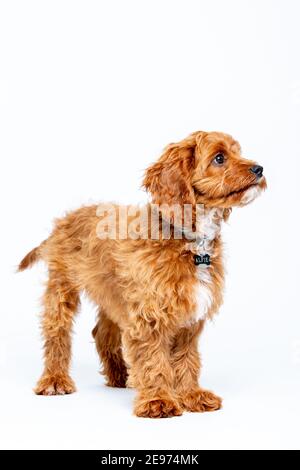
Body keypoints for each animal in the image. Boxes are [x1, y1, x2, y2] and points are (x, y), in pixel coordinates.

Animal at [18, 130, 266, 416]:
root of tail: (67, 218)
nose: (259, 168)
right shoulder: (149, 315)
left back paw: (119, 376)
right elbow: (153, 358)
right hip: (62, 287)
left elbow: (186, 359)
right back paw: (55, 380)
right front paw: (158, 400)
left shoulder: (188, 318)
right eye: (219, 158)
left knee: (102, 333)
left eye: (238, 151)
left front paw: (190, 395)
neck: (190, 241)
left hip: (113, 296)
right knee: (56, 332)